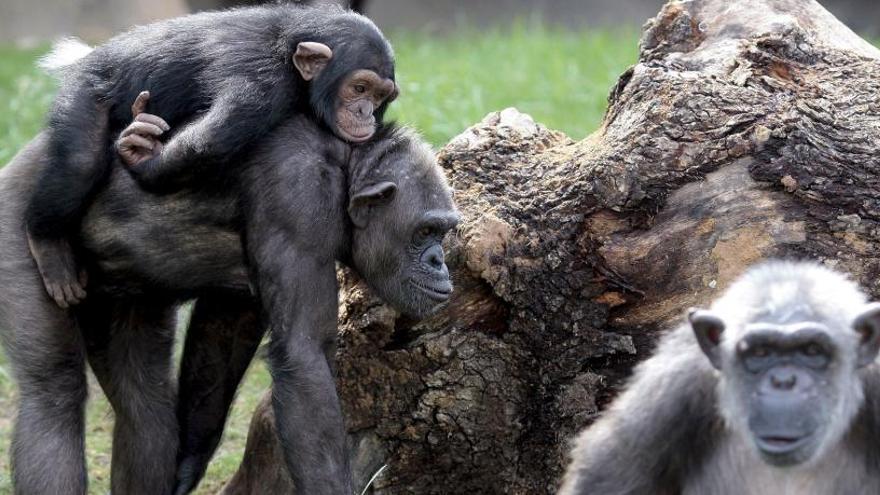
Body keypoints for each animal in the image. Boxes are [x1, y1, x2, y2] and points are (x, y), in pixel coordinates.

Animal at [23, 3, 398, 310]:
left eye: (380, 96)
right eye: (359, 88)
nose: (365, 111)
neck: (290, 59)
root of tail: (84, 57)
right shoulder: (261, 86)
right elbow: (209, 141)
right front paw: (144, 159)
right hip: (86, 92)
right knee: (79, 162)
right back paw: (47, 245)